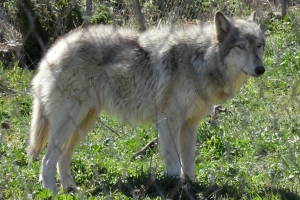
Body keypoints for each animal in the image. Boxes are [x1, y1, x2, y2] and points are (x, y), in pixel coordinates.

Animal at [28, 10, 264, 194]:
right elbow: (173, 162)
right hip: (69, 121)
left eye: (260, 45)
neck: (201, 60)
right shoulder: (169, 121)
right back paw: (51, 192)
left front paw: (191, 187)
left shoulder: (190, 124)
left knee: (62, 157)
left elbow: (189, 163)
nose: (260, 69)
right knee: (46, 160)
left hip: (84, 123)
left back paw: (71, 189)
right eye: (241, 46)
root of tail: (53, 50)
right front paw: (175, 187)